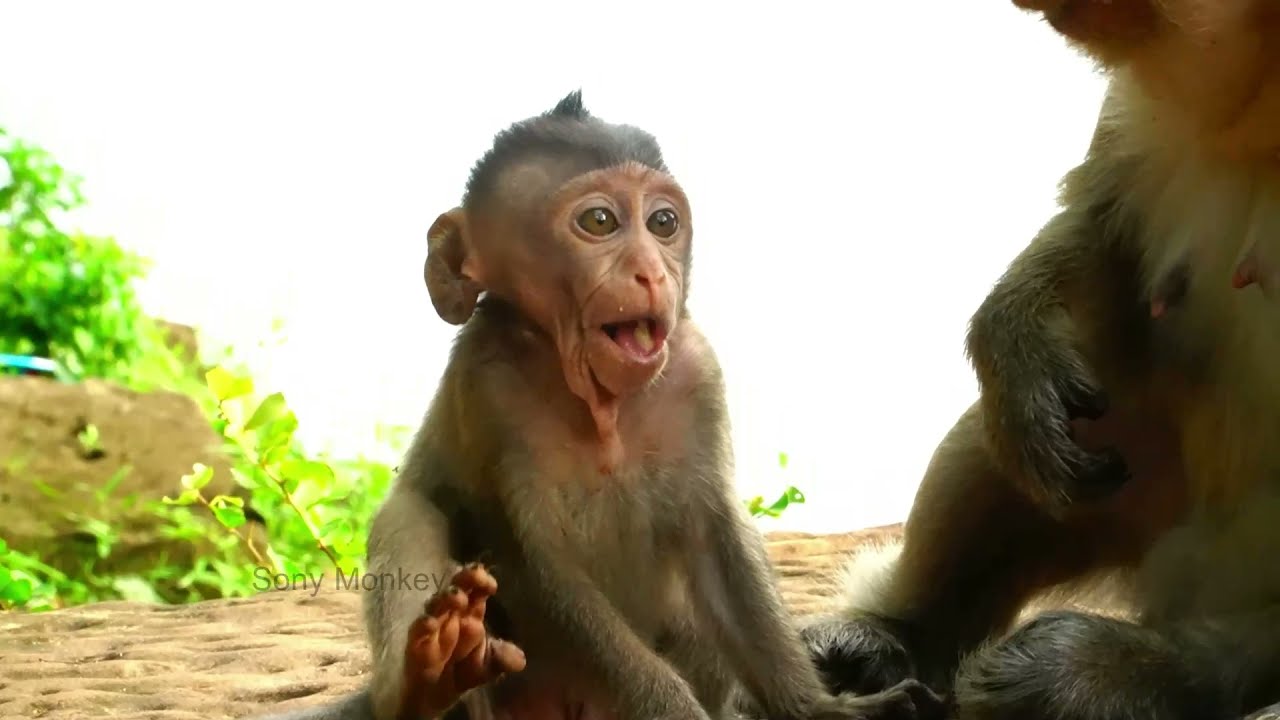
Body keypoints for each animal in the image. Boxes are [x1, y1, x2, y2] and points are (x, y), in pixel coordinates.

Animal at [253, 91, 946, 720]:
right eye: (600, 222)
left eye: (663, 224)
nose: (652, 273)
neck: (600, 401)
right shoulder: (487, 385)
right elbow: (539, 567)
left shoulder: (698, 372)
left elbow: (716, 541)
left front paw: (820, 708)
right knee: (412, 515)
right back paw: (430, 678)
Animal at [796, 1, 1280, 719]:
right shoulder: (1135, 113)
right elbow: (1100, 227)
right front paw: (1012, 335)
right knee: (1016, 439)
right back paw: (898, 638)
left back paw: (1120, 673)